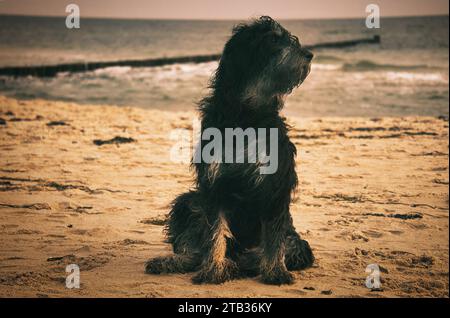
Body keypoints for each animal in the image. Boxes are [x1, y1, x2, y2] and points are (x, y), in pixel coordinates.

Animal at [146, 15, 314, 286]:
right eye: (273, 40)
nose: (309, 55)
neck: (247, 116)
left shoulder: (275, 186)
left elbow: (274, 237)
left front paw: (275, 271)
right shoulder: (214, 185)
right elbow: (214, 233)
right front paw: (214, 269)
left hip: (296, 240)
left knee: (287, 247)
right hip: (189, 202)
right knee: (195, 248)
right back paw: (174, 261)